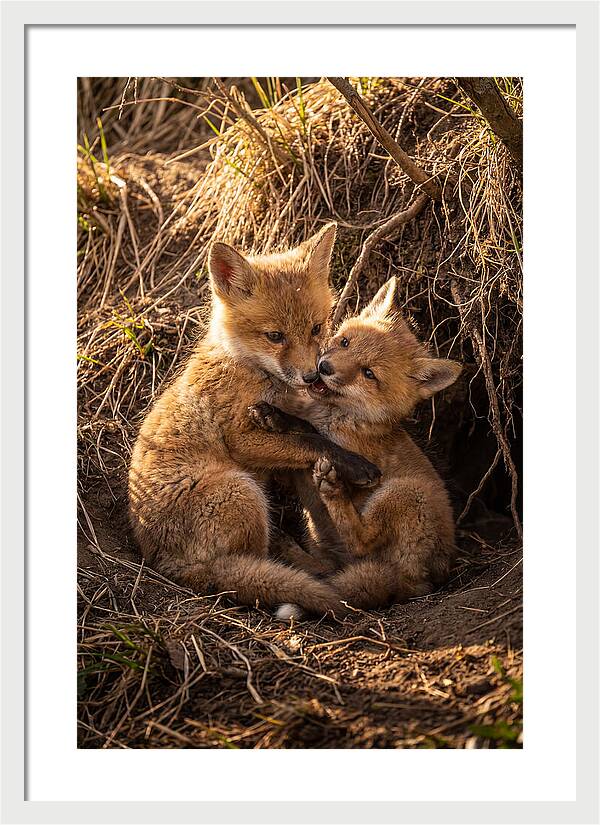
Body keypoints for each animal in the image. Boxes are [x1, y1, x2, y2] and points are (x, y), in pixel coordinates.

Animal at [128, 223, 380, 619]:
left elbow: (304, 430)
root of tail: (165, 564)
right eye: (275, 336)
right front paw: (355, 465)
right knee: (253, 565)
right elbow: (311, 441)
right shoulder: (241, 439)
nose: (312, 376)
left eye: (316, 328)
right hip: (241, 490)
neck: (247, 368)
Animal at [248, 276, 462, 618]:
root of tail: (422, 583)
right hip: (325, 541)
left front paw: (282, 420)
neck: (337, 415)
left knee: (361, 540)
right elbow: (302, 429)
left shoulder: (348, 449)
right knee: (328, 568)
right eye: (346, 342)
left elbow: (313, 434)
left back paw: (332, 492)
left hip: (404, 493)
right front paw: (273, 415)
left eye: (369, 373)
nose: (324, 367)